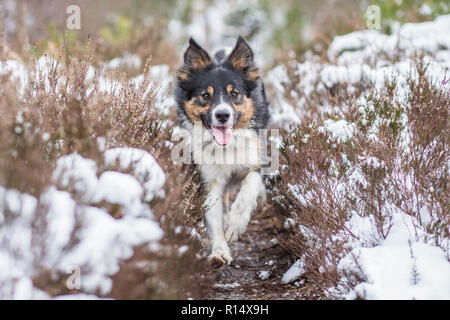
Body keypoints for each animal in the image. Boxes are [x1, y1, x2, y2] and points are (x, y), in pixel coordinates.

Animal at [174, 35, 268, 268]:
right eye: (205, 96)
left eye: (234, 93)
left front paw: (235, 225)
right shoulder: (208, 180)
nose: (223, 115)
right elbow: (213, 216)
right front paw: (219, 251)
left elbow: (249, 189)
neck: (226, 146)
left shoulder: (255, 163)